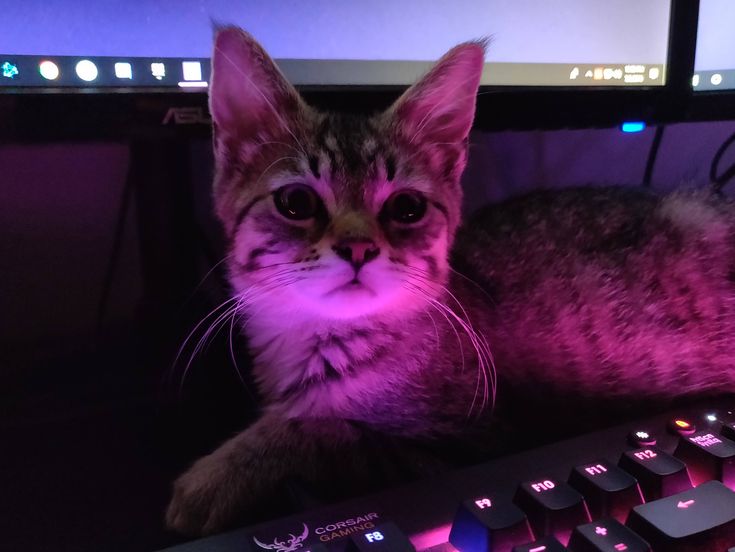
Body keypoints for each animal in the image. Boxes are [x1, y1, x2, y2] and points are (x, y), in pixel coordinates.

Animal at [165, 27, 735, 536]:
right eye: (296, 202)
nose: (358, 248)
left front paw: (213, 478)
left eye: (407, 207)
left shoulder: (469, 443)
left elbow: (322, 430)